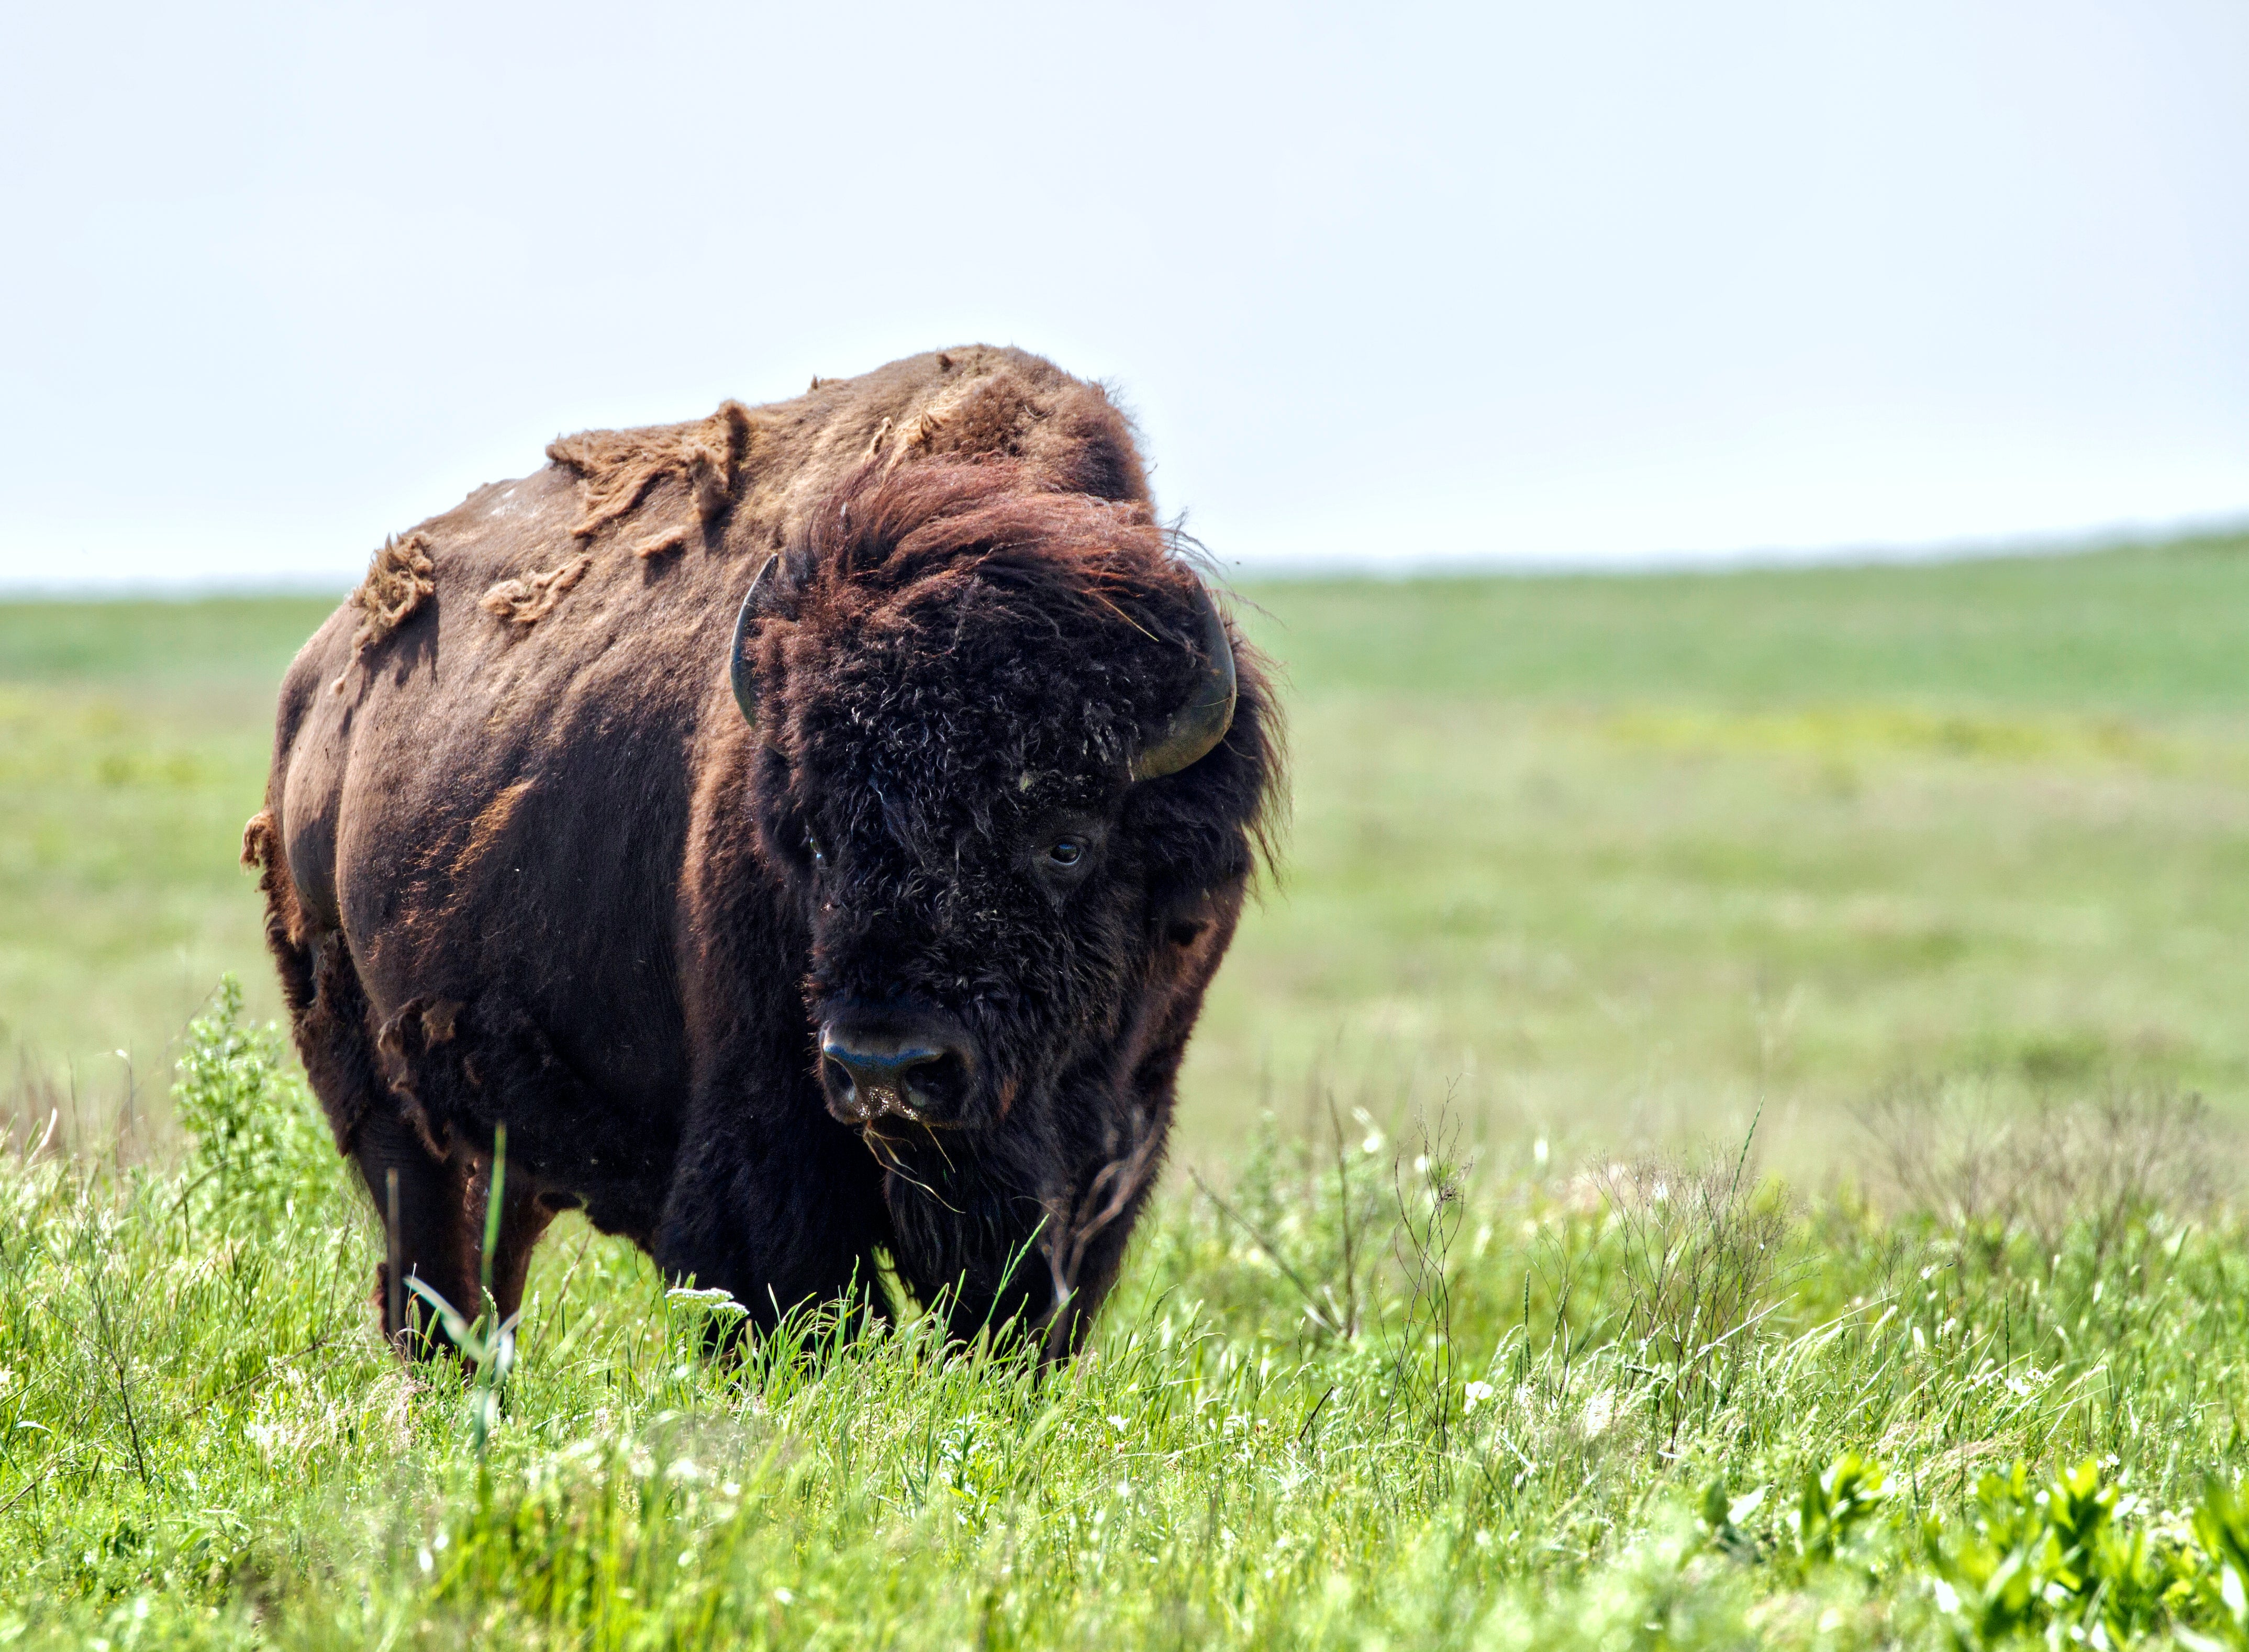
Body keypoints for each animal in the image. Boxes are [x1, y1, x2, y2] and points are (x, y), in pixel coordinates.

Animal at [245, 347, 1282, 1360]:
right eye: (816, 843)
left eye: (1066, 843)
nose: (887, 1069)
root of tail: (318, 684)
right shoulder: (769, 1137)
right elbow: (788, 1290)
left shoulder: (1114, 1136)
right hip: (385, 1107)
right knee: (429, 1288)